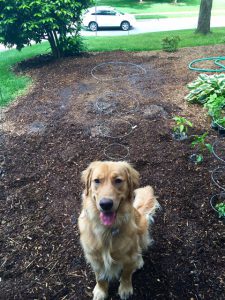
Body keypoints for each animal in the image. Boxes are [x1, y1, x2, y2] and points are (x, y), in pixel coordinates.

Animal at [78, 162, 159, 300]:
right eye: (97, 180)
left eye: (118, 180)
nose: (105, 204)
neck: (106, 230)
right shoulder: (95, 258)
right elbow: (100, 277)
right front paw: (101, 291)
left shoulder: (129, 257)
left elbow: (126, 274)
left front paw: (125, 289)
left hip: (142, 229)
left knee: (140, 249)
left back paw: (139, 261)